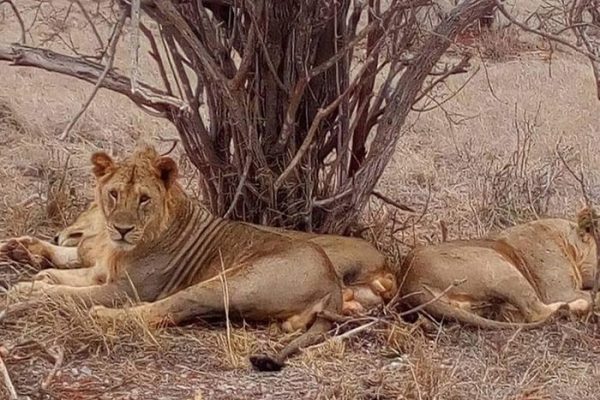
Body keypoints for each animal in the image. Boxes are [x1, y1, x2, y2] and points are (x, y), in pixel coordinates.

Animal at [5, 146, 398, 372]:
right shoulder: (101, 271)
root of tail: (330, 283)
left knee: (162, 311)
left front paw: (29, 291)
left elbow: (72, 294)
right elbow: (67, 277)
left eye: (144, 198)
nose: (121, 229)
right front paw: (36, 277)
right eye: (113, 194)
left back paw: (104, 316)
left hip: (226, 284)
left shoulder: (127, 289)